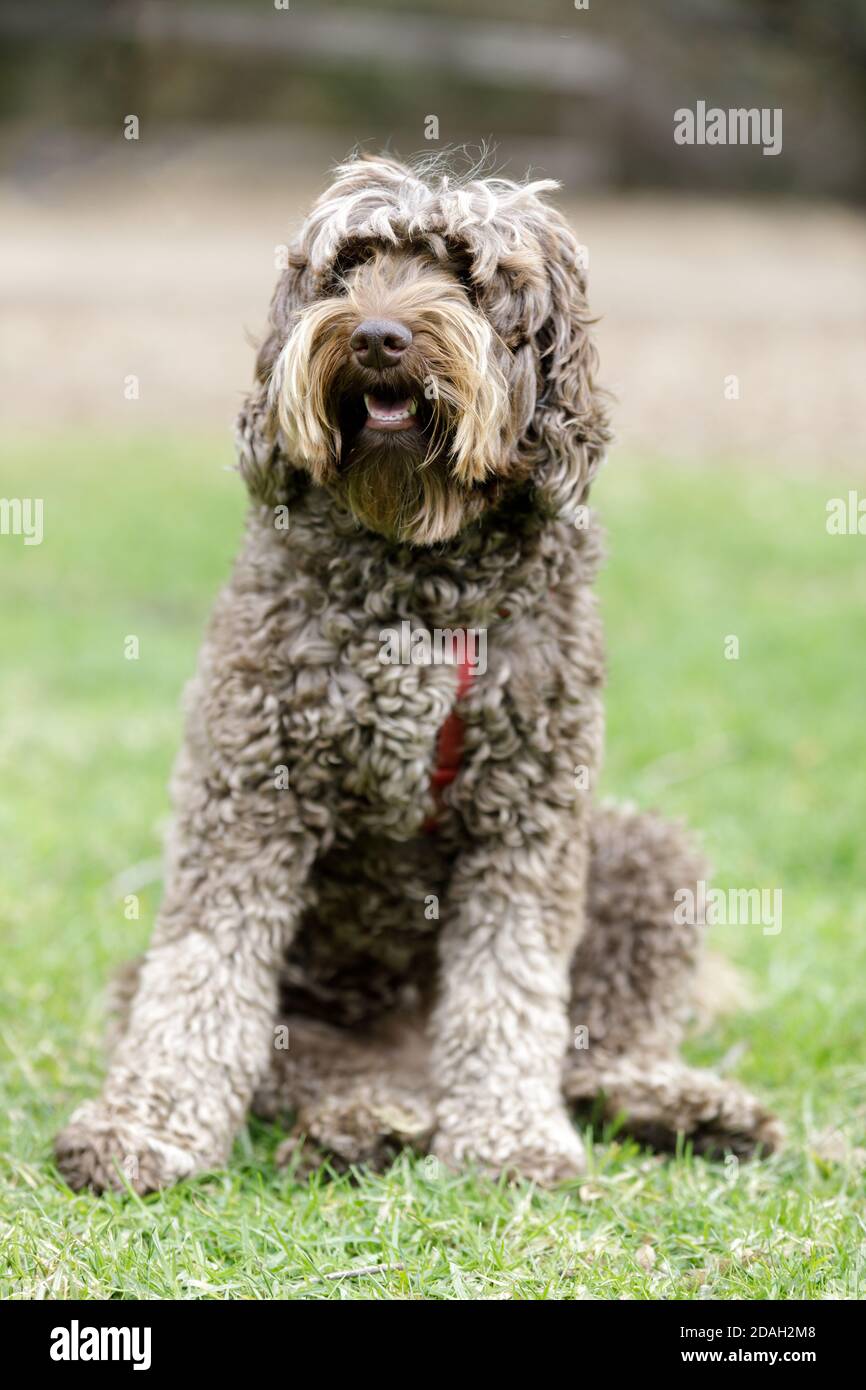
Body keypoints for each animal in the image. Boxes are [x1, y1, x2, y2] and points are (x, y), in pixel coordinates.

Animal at [57, 154, 783, 1195]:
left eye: (468, 275)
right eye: (350, 265)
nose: (377, 336)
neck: (420, 571)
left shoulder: (532, 814)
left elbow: (511, 986)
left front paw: (510, 1138)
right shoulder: (248, 789)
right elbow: (202, 978)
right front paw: (144, 1128)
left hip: (643, 856)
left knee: (593, 1054)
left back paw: (676, 1103)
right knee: (315, 1068)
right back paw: (362, 1122)